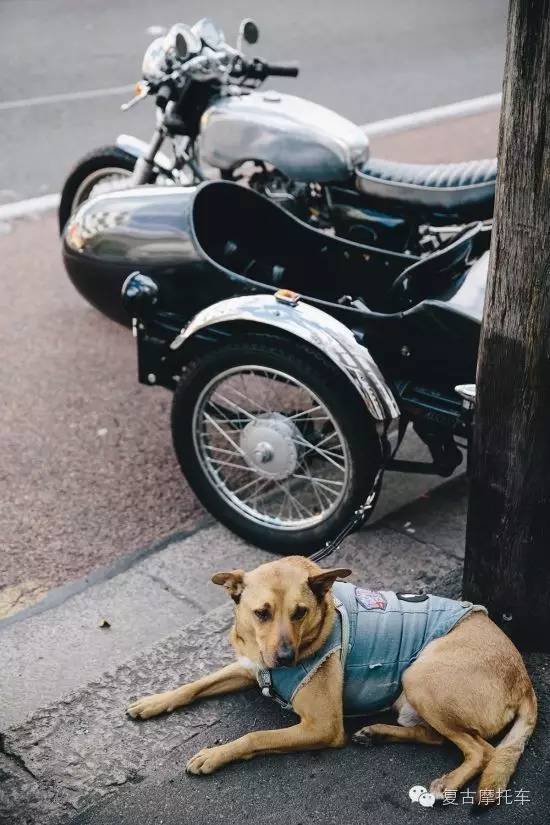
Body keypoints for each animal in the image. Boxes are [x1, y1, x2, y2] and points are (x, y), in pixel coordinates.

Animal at [127, 556, 536, 800]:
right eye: (262, 613)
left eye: (300, 612)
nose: (285, 658)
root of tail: (524, 680)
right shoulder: (248, 666)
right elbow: (195, 684)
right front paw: (153, 701)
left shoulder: (321, 726)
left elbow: (255, 736)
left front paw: (215, 754)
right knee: (436, 737)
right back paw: (378, 733)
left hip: (420, 676)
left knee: (481, 750)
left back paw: (448, 783)